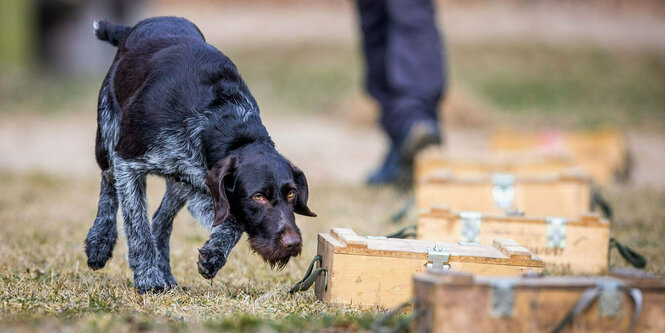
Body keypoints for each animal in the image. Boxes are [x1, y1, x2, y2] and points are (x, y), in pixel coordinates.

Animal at [83, 16, 316, 292]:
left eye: (291, 194)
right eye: (258, 197)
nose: (293, 243)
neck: (217, 118)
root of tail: (134, 28)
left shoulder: (203, 181)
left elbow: (233, 222)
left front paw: (214, 254)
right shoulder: (128, 163)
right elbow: (137, 227)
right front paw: (148, 278)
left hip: (182, 181)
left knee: (160, 221)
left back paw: (166, 272)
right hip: (107, 137)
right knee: (109, 186)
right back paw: (100, 242)